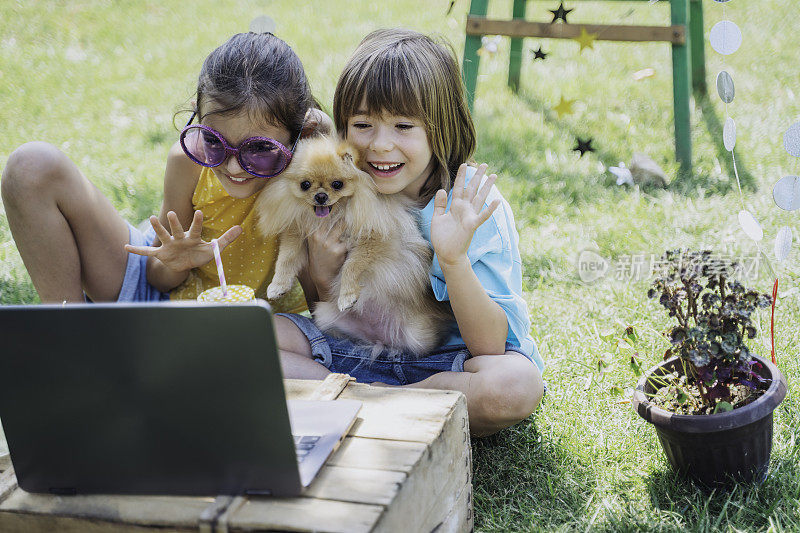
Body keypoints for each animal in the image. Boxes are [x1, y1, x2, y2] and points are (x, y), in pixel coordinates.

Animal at [258, 135, 454, 356]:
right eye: (305, 185)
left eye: (337, 184)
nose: (320, 196)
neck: (332, 216)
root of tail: (380, 339)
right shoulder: (297, 234)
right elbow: (286, 259)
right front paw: (278, 286)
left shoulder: (373, 241)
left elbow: (351, 266)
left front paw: (347, 295)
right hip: (324, 313)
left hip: (420, 337)